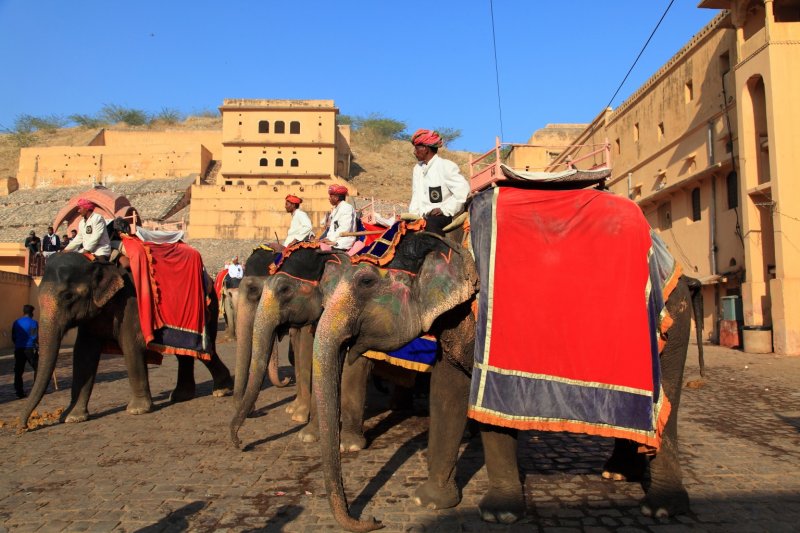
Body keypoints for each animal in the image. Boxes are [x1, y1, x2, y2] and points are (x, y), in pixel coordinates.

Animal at [20, 250, 233, 428]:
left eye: (68, 296)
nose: (25, 426)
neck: (98, 262)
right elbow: (83, 354)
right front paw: (72, 417)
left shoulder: (131, 303)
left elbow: (132, 346)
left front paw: (138, 410)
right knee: (187, 354)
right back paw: (185, 395)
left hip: (208, 309)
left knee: (205, 351)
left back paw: (221, 390)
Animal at [310, 228, 700, 532]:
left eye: (366, 281)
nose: (373, 519)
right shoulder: (455, 321)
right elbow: (446, 391)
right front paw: (430, 502)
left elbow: (487, 405)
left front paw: (499, 516)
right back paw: (618, 474)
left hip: (673, 319)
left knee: (669, 400)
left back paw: (661, 507)